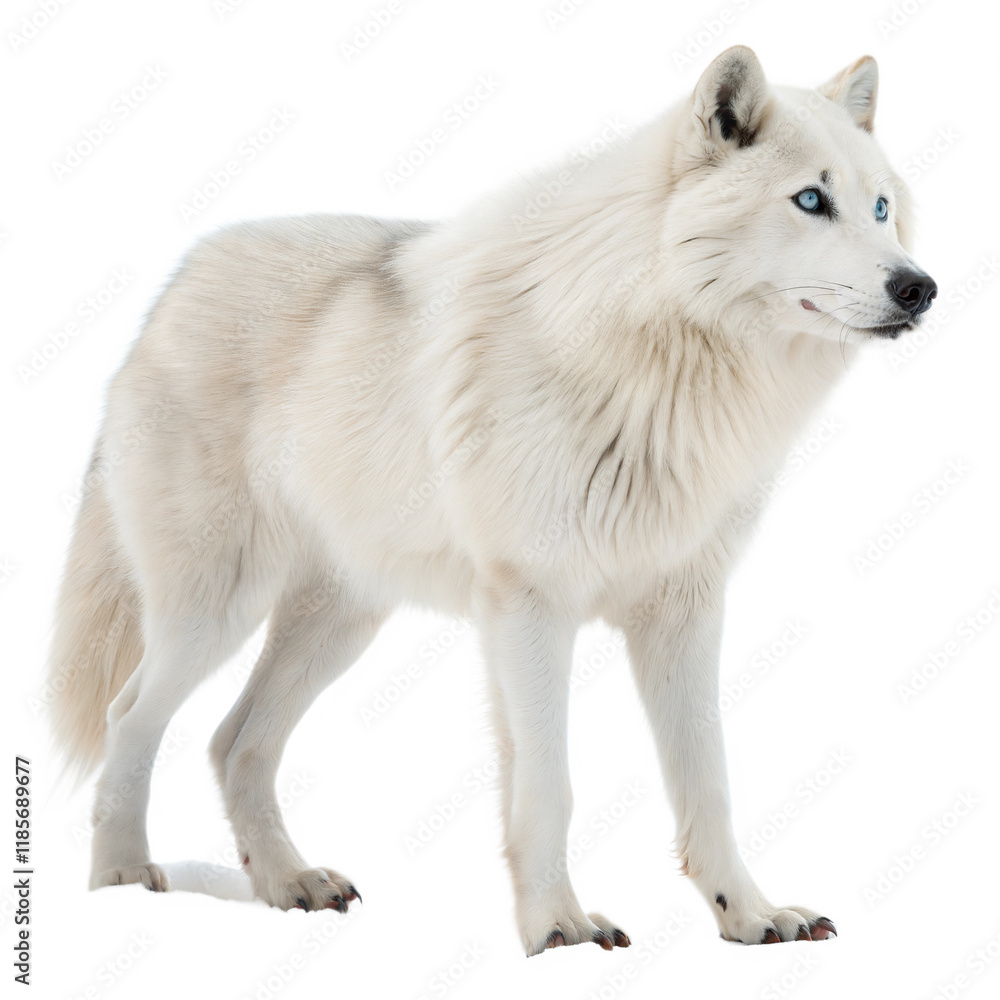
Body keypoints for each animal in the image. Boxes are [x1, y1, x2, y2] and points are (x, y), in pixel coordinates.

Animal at [49, 46, 936, 955]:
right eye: (810, 200)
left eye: (881, 208)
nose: (919, 288)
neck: (664, 369)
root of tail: (176, 283)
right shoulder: (530, 607)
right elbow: (550, 785)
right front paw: (559, 926)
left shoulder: (684, 610)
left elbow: (709, 782)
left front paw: (749, 916)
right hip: (215, 610)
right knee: (129, 716)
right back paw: (121, 881)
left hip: (340, 623)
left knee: (235, 741)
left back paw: (289, 882)